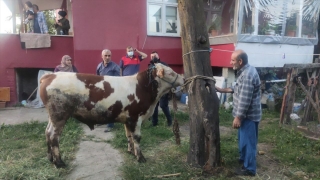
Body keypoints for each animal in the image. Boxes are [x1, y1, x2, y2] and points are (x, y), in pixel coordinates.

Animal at [39, 63, 184, 167]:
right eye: (171, 72)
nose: (183, 78)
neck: (142, 87)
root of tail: (49, 76)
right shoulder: (136, 118)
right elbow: (137, 138)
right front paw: (140, 157)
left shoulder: (128, 119)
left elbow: (129, 136)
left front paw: (131, 152)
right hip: (59, 115)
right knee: (53, 136)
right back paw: (59, 162)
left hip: (53, 116)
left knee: (47, 132)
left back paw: (50, 158)